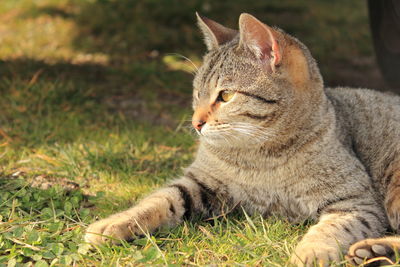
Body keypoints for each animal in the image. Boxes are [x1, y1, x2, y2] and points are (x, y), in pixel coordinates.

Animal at [84, 13, 400, 267]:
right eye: (197, 93)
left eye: (225, 95)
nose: (196, 123)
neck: (260, 155)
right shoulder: (199, 182)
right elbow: (159, 200)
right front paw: (114, 223)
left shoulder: (356, 201)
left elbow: (332, 229)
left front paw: (310, 252)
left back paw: (374, 249)